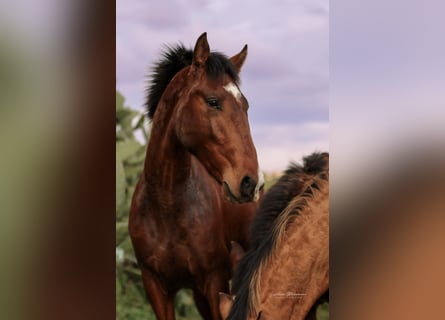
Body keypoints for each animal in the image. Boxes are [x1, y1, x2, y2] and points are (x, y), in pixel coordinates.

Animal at [128, 33, 262, 320]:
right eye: (213, 102)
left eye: (245, 105)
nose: (251, 182)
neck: (166, 206)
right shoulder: (155, 286)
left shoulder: (214, 281)